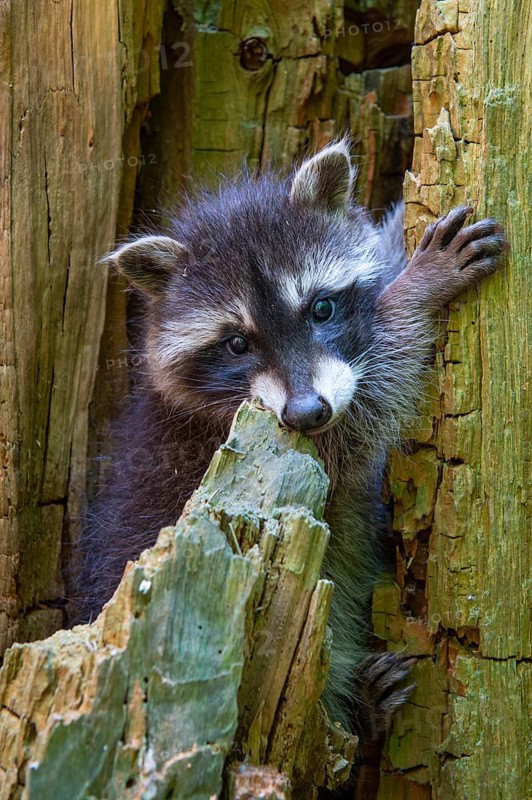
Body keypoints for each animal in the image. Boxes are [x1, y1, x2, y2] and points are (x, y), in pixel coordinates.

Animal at [79, 140, 507, 738]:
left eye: (321, 307)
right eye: (237, 344)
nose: (307, 412)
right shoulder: (236, 440)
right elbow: (363, 413)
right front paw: (414, 291)